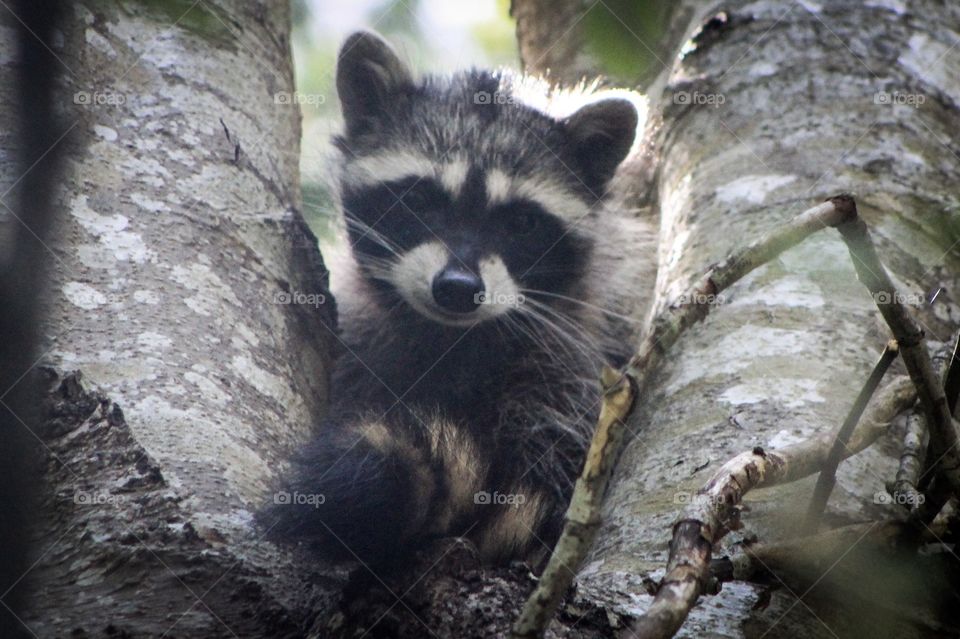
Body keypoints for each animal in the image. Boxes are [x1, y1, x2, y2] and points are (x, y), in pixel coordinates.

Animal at [263, 31, 656, 567]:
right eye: (419, 200)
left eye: (521, 222)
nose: (457, 288)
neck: (450, 337)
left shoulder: (575, 351)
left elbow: (547, 456)